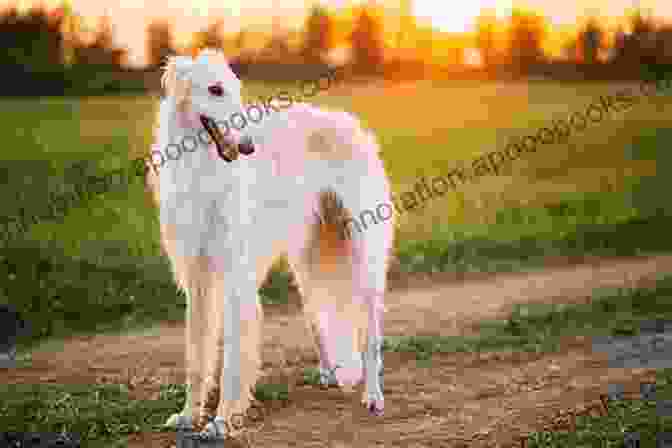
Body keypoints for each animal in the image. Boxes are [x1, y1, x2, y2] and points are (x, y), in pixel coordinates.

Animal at [144, 50, 392, 438]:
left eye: (236, 90)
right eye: (215, 89)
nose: (248, 147)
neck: (204, 170)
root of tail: (351, 123)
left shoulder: (235, 279)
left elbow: (232, 361)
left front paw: (222, 420)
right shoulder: (198, 280)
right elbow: (197, 357)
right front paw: (188, 415)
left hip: (364, 254)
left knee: (371, 335)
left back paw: (373, 395)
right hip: (308, 264)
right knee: (319, 319)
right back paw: (331, 373)